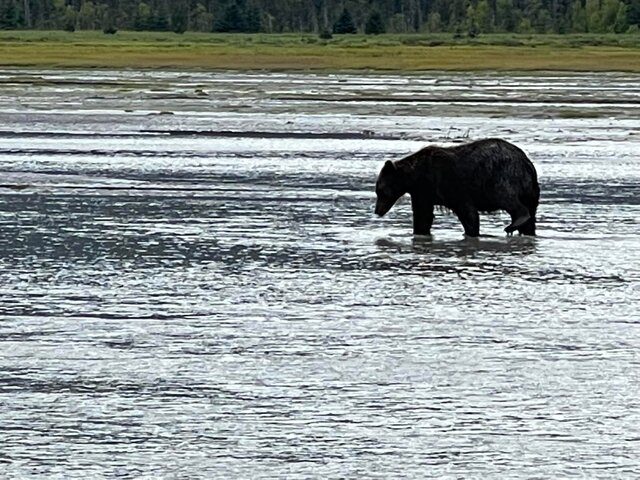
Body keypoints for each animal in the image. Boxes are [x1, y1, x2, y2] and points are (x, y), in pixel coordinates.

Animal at [376, 138, 540, 237]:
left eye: (380, 191)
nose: (377, 211)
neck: (414, 176)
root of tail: (527, 162)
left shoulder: (447, 182)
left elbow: (467, 211)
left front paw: (471, 231)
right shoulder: (422, 192)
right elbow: (423, 215)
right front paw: (419, 232)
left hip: (502, 176)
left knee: (505, 197)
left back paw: (513, 224)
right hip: (530, 189)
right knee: (530, 214)